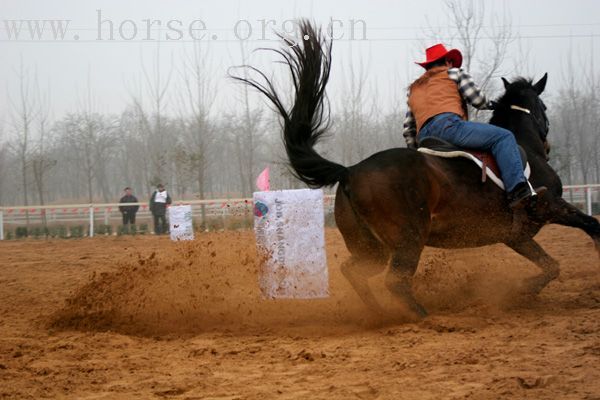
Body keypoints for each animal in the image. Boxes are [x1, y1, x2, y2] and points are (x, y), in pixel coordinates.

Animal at [232, 21, 600, 318]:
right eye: (544, 107)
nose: (549, 144)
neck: (526, 148)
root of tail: (350, 170)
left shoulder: (515, 236)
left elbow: (551, 262)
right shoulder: (550, 206)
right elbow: (584, 230)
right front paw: (527, 289)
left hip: (372, 247)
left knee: (355, 272)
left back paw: (380, 313)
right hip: (409, 238)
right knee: (396, 281)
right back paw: (420, 315)